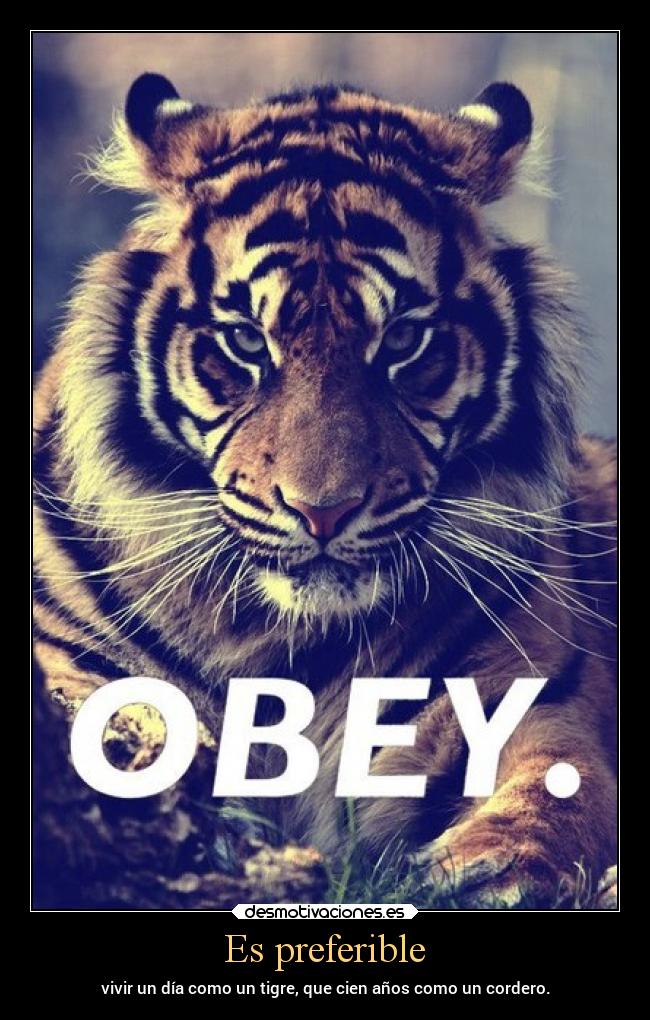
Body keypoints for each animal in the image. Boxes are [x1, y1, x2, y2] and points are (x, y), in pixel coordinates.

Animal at [33, 72, 617, 909]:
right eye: (246, 341)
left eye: (403, 341)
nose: (323, 511)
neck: (274, 637)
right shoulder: (72, 663)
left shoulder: (527, 697)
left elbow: (554, 789)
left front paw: (493, 872)